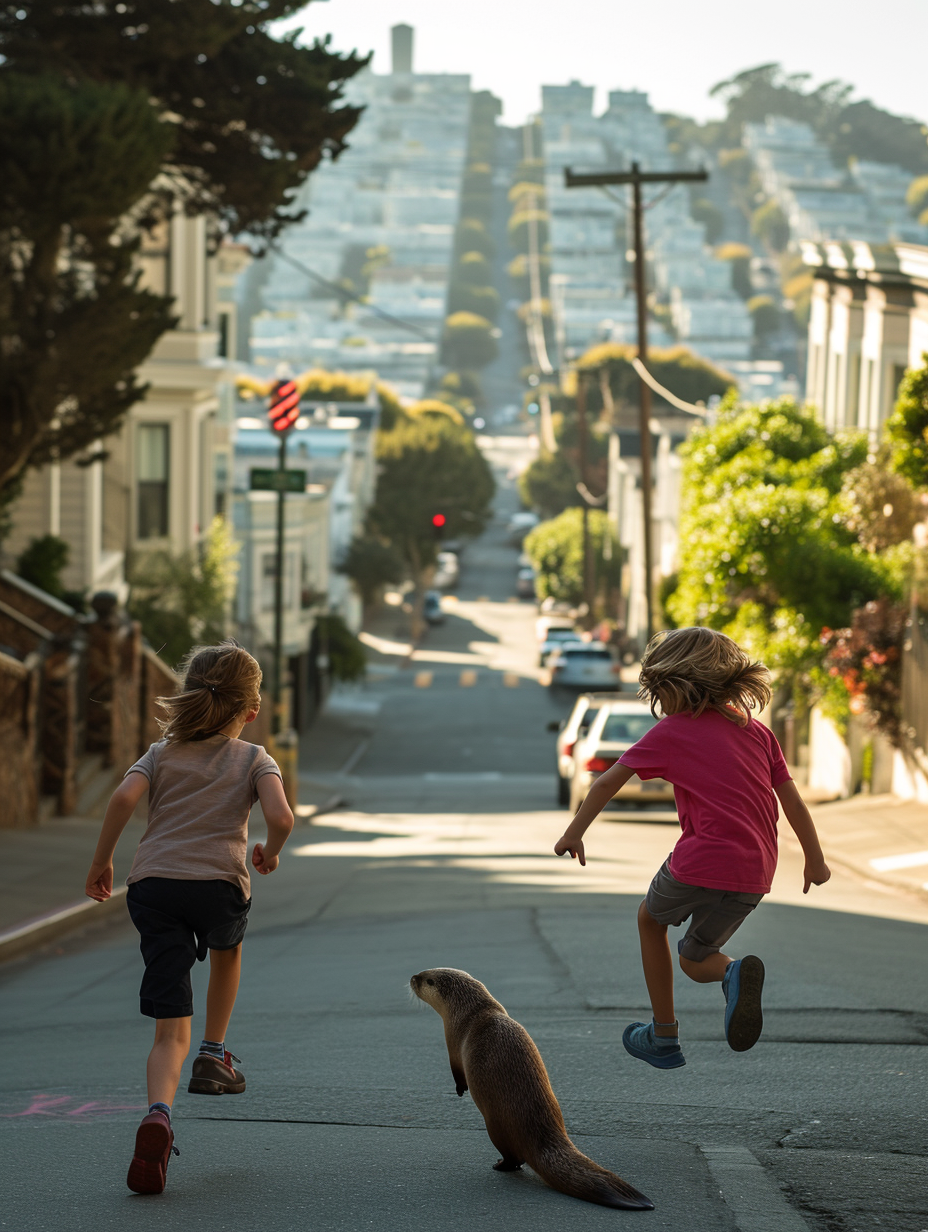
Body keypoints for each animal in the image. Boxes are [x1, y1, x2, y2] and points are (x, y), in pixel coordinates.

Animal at [409, 965, 655, 1207]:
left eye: (427, 979)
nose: (412, 977)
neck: (472, 1011)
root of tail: (543, 1134)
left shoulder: (452, 1040)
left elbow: (457, 1070)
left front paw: (460, 1089)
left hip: (495, 1126)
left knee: (514, 1158)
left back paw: (500, 1165)